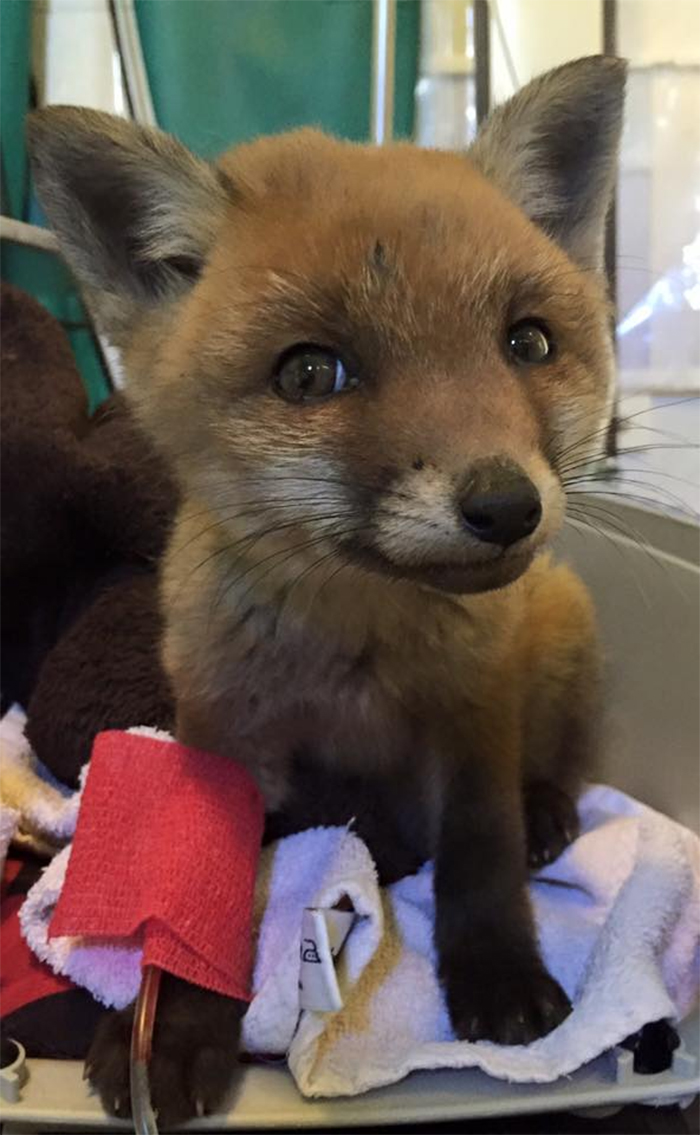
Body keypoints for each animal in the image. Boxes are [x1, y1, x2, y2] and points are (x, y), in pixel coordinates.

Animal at [30, 55, 626, 1125]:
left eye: (528, 344)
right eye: (311, 372)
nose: (506, 504)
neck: (359, 657)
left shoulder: (474, 721)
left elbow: (481, 859)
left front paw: (499, 978)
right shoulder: (223, 741)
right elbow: (198, 904)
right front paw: (172, 1028)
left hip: (562, 628)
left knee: (555, 766)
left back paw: (550, 812)